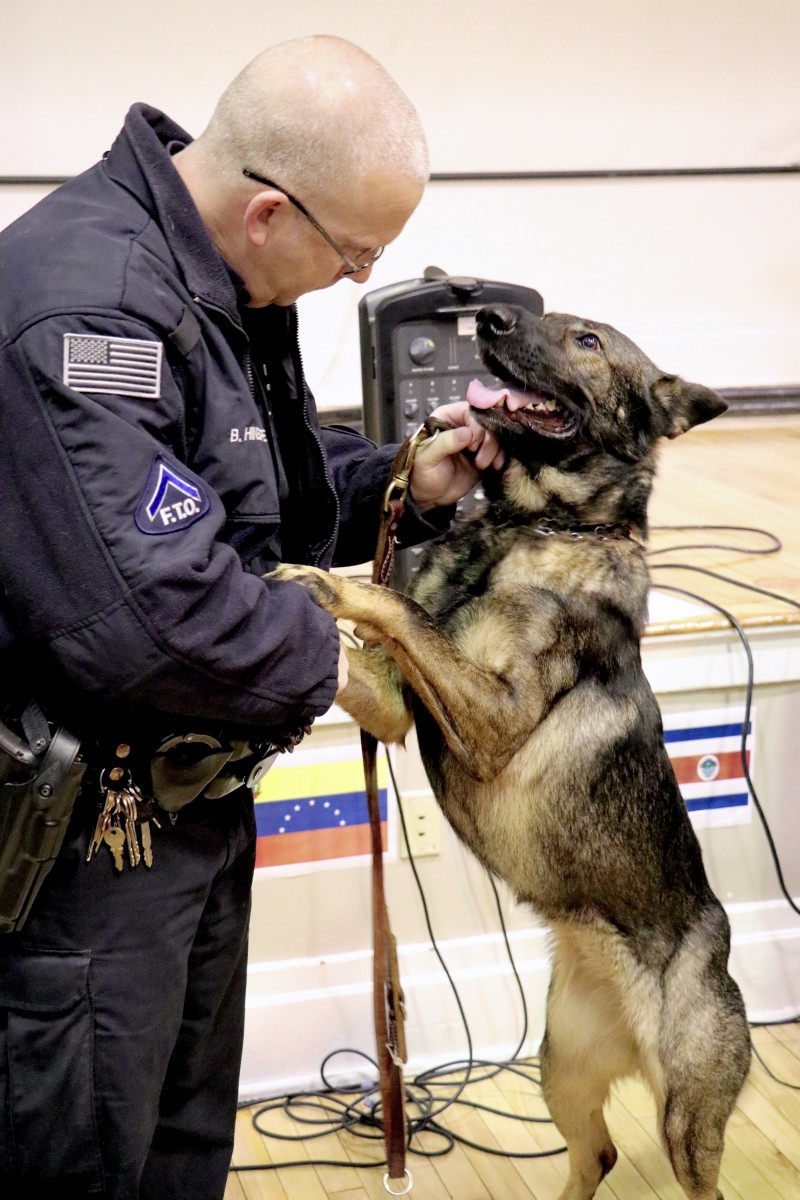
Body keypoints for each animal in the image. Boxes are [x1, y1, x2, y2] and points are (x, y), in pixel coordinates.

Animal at [273, 307, 753, 1200]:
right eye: (549, 317)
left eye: (588, 341)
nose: (489, 320)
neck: (536, 523)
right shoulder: (393, 705)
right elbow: (386, 633)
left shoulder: (492, 718)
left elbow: (396, 606)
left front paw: (335, 584)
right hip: (560, 1068)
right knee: (595, 1155)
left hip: (684, 1124)